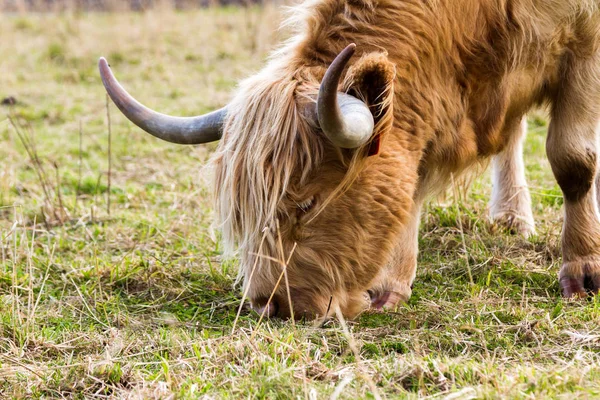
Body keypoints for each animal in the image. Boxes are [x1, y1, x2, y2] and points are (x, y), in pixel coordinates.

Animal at [101, 0, 600, 318]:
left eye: (306, 204)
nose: (268, 305)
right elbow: (411, 187)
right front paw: (390, 286)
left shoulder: (586, 42)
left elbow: (573, 159)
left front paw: (583, 269)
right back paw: (511, 216)